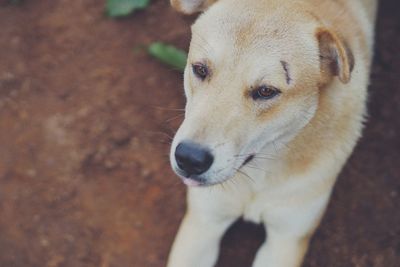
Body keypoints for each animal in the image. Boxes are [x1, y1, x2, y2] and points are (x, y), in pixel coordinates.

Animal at [167, 1, 376, 266]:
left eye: (266, 91)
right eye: (200, 69)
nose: (189, 159)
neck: (257, 177)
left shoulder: (287, 239)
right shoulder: (203, 222)